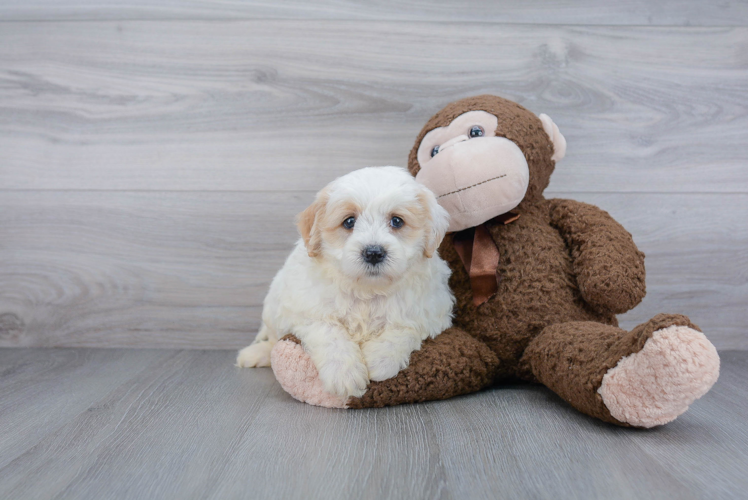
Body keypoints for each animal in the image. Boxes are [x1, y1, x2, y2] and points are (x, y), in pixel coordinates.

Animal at [237, 166, 452, 400]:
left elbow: (404, 328)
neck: (368, 290)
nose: (373, 252)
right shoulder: (307, 311)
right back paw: (254, 354)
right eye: (349, 222)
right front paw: (344, 375)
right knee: (272, 339)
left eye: (397, 221)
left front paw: (379, 360)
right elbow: (330, 333)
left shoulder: (431, 312)